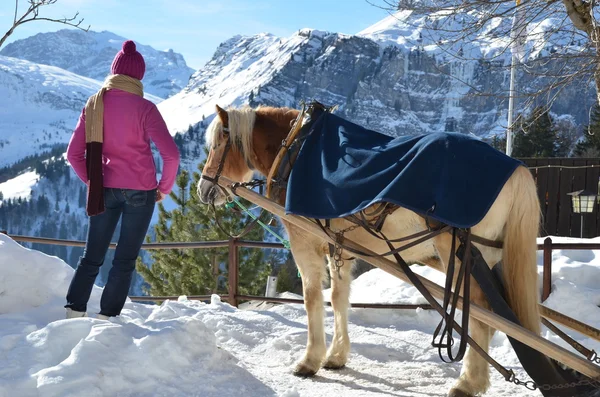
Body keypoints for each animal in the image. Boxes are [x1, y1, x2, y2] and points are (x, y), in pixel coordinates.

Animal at [195, 103, 540, 396]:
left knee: (482, 313)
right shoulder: (340, 248)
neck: (296, 148)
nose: (203, 189)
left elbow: (312, 299)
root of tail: (516, 169)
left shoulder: (305, 243)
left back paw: (468, 382)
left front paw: (310, 360)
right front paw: (336, 356)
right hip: (484, 258)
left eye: (217, 145)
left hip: (459, 254)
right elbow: (339, 298)